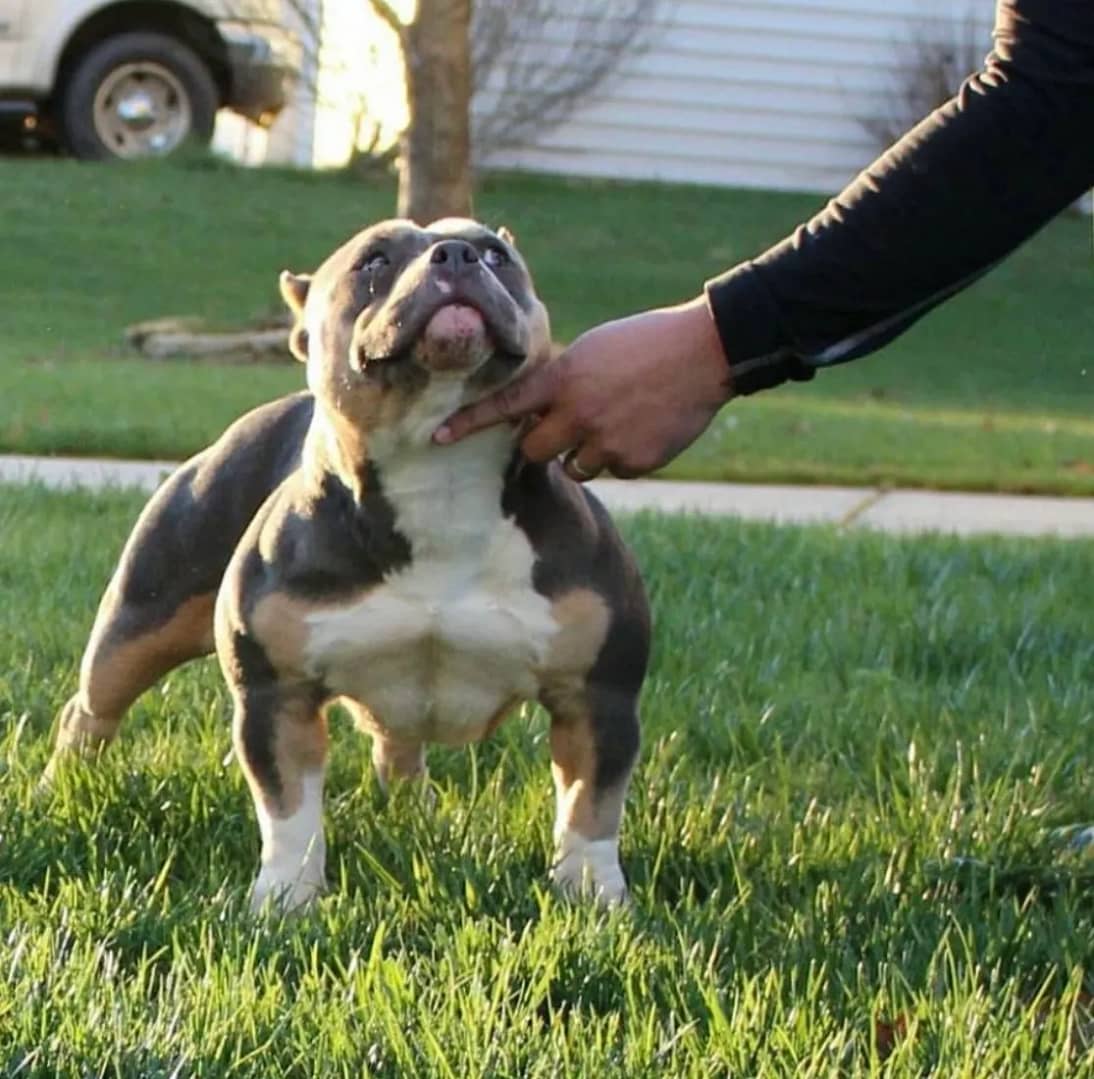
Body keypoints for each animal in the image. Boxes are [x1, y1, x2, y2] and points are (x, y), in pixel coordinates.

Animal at [47, 216, 647, 910]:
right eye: (374, 261)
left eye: (498, 255)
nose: (457, 254)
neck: (438, 474)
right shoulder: (277, 695)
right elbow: (290, 810)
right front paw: (287, 898)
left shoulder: (597, 697)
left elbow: (590, 807)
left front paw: (594, 895)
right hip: (142, 620)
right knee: (91, 707)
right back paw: (58, 787)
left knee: (398, 744)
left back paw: (415, 812)